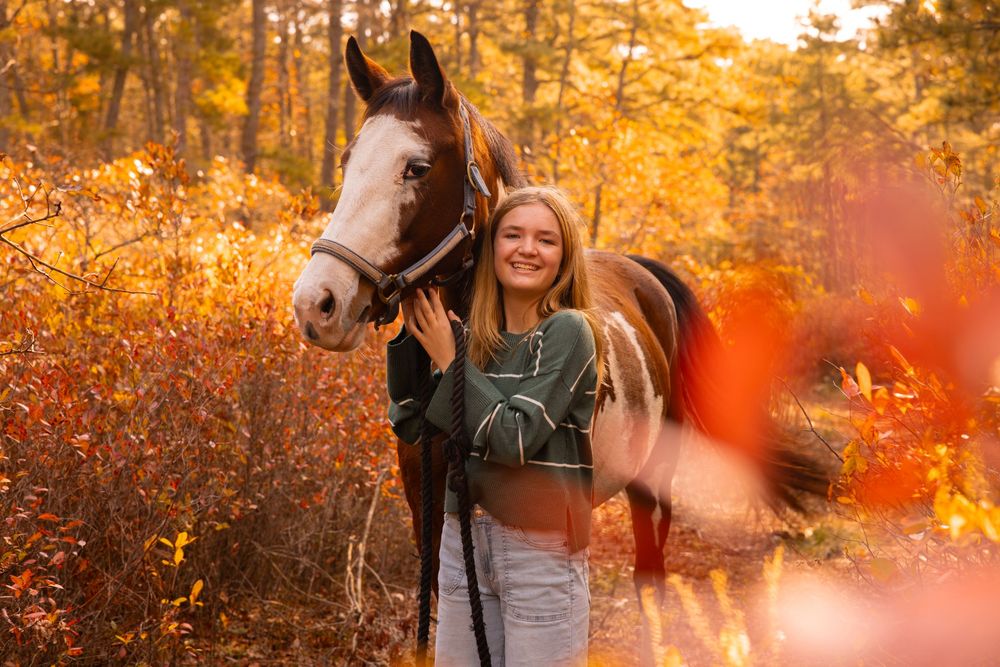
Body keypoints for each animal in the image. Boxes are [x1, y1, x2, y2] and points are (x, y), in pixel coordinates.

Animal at [292, 30, 825, 664]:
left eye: (415, 167)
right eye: (347, 163)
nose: (317, 304)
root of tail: (644, 276)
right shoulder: (432, 517)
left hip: (654, 481)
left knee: (649, 574)